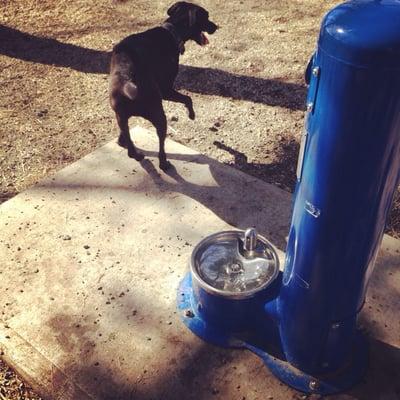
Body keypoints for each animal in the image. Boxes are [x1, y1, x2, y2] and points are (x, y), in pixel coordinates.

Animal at [108, 0, 217, 169]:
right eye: (206, 17)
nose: (216, 26)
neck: (171, 31)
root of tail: (128, 81)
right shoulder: (166, 90)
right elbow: (188, 99)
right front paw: (191, 114)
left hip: (121, 116)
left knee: (127, 141)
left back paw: (132, 150)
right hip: (159, 115)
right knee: (161, 143)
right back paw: (163, 162)